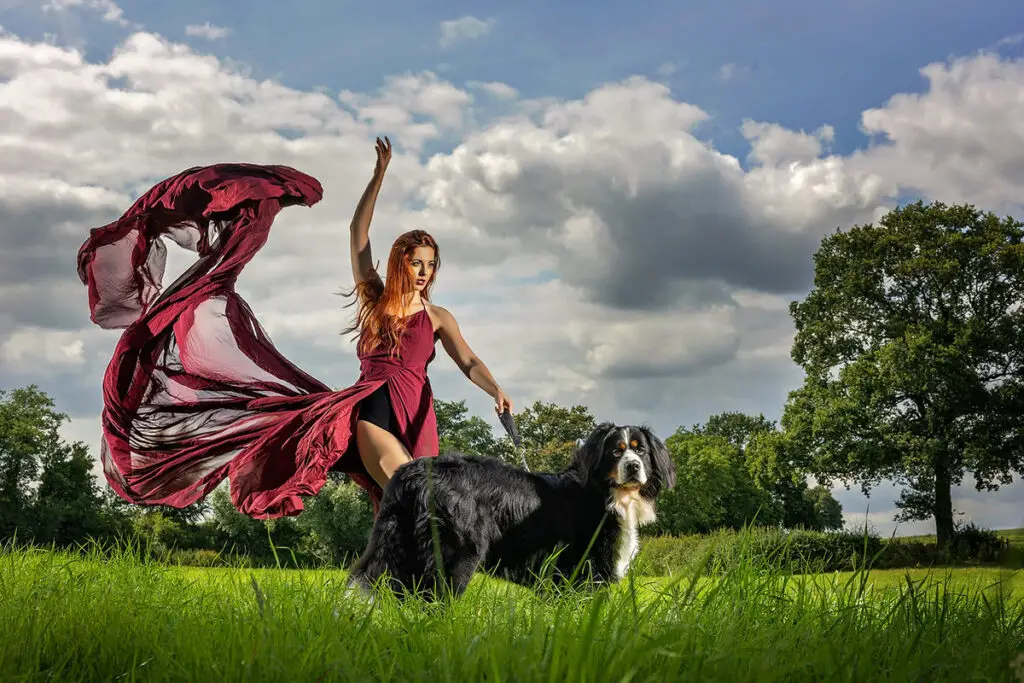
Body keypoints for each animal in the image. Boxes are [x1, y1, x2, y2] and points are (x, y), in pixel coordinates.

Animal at [348, 421, 675, 602]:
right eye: (616, 451)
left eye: (641, 450)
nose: (633, 466)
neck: (606, 495)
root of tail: (412, 471)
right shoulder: (583, 572)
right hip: (455, 555)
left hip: (404, 548)